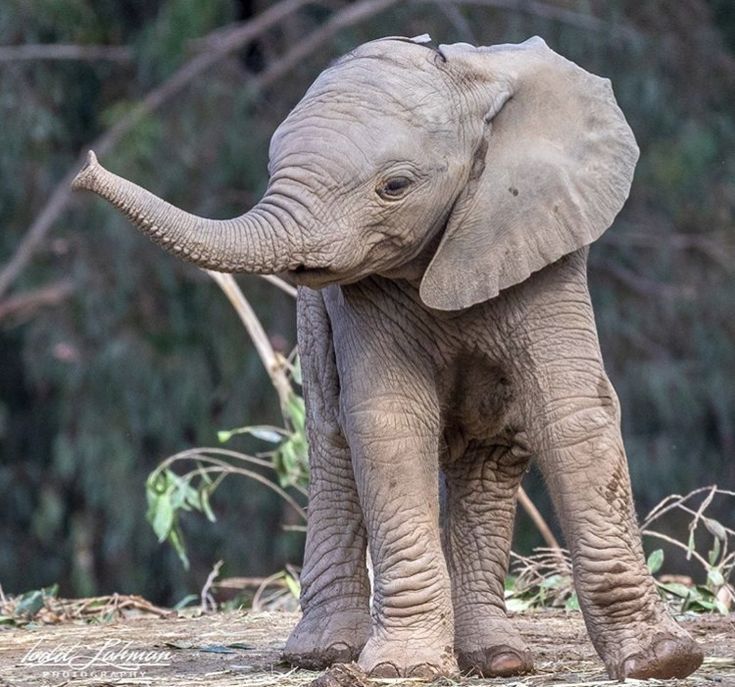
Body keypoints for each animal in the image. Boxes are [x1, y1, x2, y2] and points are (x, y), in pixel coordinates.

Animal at [73, 35, 700, 680]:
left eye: (394, 187)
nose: (84, 168)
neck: (475, 83)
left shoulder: (546, 242)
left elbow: (572, 411)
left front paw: (662, 661)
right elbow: (388, 421)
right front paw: (404, 669)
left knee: (492, 456)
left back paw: (497, 661)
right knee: (332, 441)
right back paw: (323, 653)